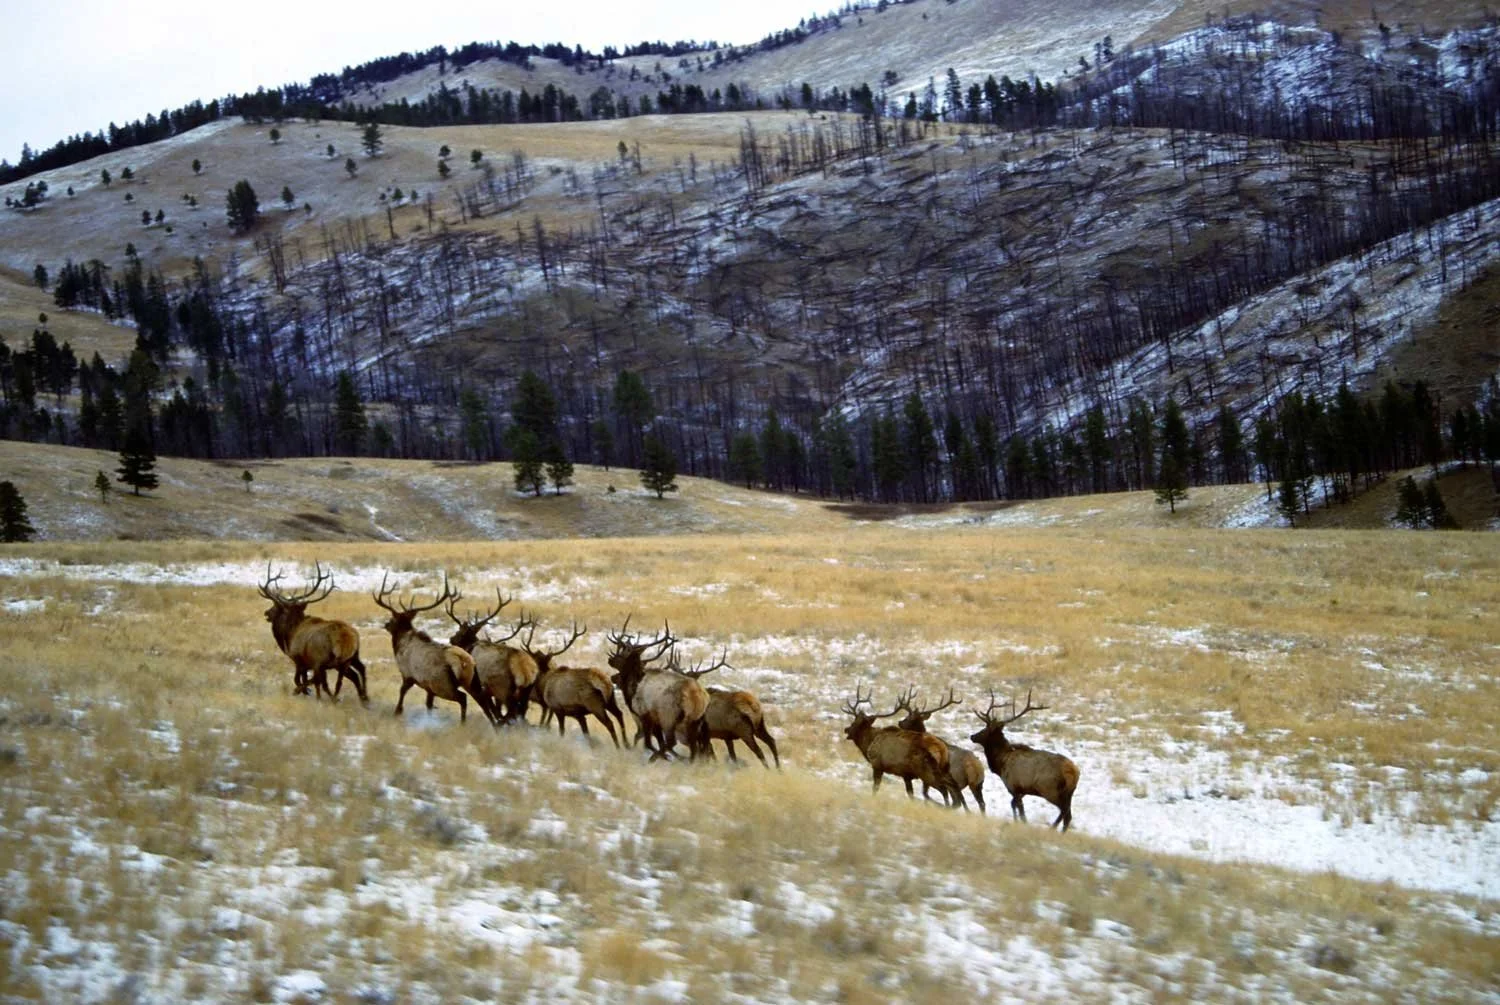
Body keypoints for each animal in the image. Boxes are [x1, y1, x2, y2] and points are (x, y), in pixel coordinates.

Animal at [258, 562, 368, 703]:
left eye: (277, 606)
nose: (266, 612)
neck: (290, 634)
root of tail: (345, 637)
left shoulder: (299, 660)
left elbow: (299, 680)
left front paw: (305, 692)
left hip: (323, 659)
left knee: (326, 679)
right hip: (352, 656)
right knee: (358, 671)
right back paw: (363, 697)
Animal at [372, 575, 497, 725]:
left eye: (393, 619)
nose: (386, 624)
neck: (400, 646)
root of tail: (463, 661)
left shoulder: (408, 674)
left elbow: (402, 692)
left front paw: (397, 712)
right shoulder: (428, 687)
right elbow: (429, 704)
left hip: (443, 684)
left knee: (463, 698)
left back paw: (463, 723)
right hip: (472, 681)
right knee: (482, 700)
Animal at [445, 589, 539, 724]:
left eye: (459, 632)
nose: (451, 639)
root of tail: (523, 668)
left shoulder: (475, 688)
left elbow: (488, 711)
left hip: (504, 690)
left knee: (510, 712)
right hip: (526, 690)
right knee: (521, 710)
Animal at [606, 618, 709, 762]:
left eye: (622, 655)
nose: (610, 659)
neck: (632, 687)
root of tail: (696, 696)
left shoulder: (645, 714)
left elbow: (648, 744)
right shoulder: (655, 720)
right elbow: (657, 742)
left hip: (669, 716)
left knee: (672, 742)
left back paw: (658, 758)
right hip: (695, 721)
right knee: (694, 748)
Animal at [969, 690, 1079, 832]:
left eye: (985, 729)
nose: (972, 736)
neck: (1000, 763)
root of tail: (1074, 772)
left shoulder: (1013, 787)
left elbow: (1018, 809)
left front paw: (1019, 823)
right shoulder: (1022, 791)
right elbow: (1017, 807)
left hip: (1050, 790)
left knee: (1064, 811)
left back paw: (1052, 828)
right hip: (1069, 793)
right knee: (1068, 815)